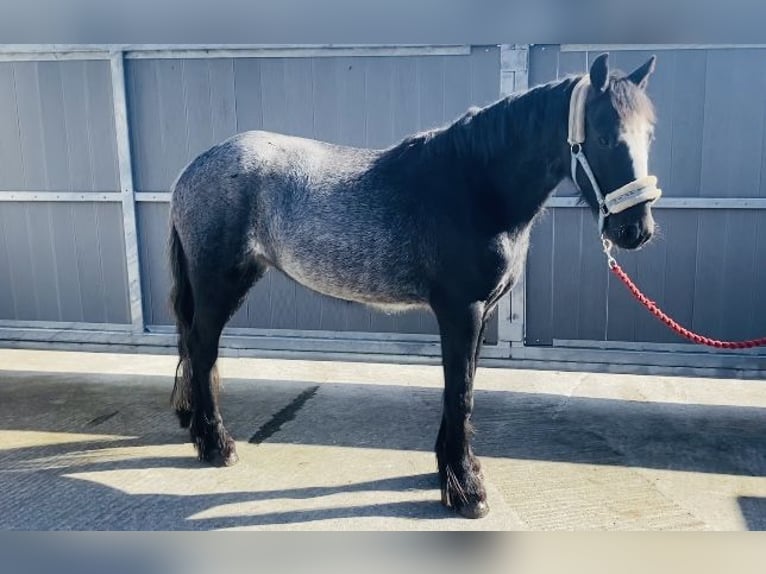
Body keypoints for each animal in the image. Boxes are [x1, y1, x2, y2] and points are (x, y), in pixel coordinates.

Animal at [168, 54, 660, 520]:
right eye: (604, 138)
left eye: (649, 136)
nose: (636, 230)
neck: (475, 186)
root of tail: (193, 168)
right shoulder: (461, 310)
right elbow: (459, 392)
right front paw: (467, 491)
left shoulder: (479, 313)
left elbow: (463, 387)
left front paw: (452, 471)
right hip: (220, 282)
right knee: (202, 346)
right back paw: (217, 446)